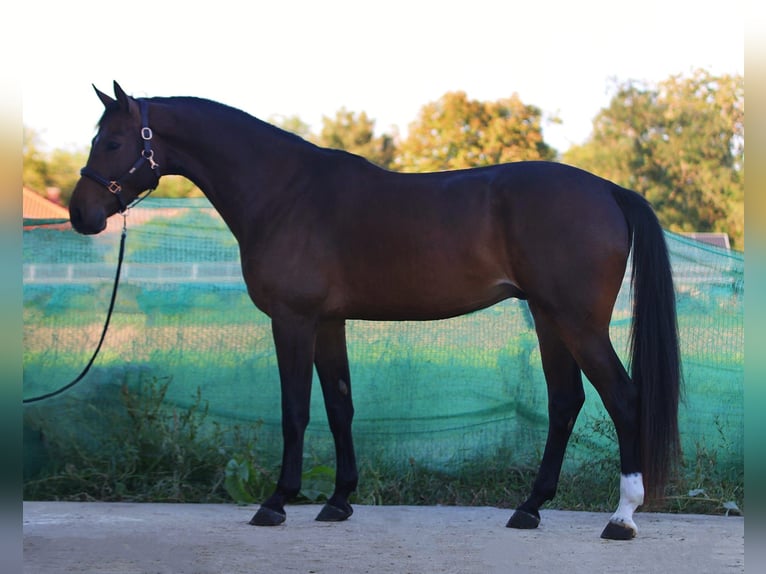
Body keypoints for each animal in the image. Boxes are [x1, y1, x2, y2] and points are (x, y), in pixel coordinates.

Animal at [70, 81, 684, 540]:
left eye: (114, 142)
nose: (81, 214)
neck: (285, 193)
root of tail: (608, 190)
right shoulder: (328, 322)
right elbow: (340, 404)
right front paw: (339, 500)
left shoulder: (292, 320)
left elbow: (295, 410)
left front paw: (277, 502)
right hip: (549, 318)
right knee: (565, 402)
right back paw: (529, 508)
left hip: (577, 323)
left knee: (623, 398)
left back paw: (621, 517)